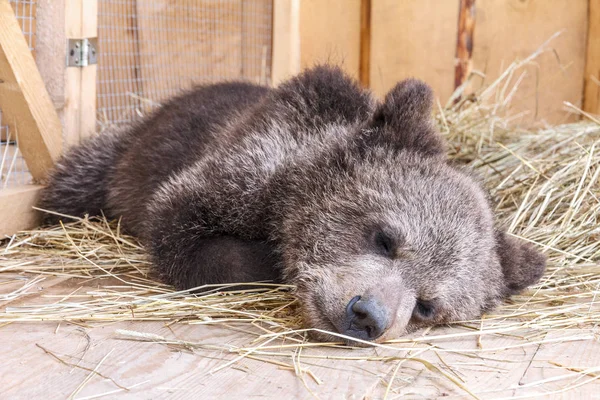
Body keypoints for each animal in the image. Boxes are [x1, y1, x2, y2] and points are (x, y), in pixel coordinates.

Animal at [37, 65, 548, 344]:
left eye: (427, 307)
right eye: (385, 238)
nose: (367, 316)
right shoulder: (239, 167)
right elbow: (182, 230)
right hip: (118, 154)